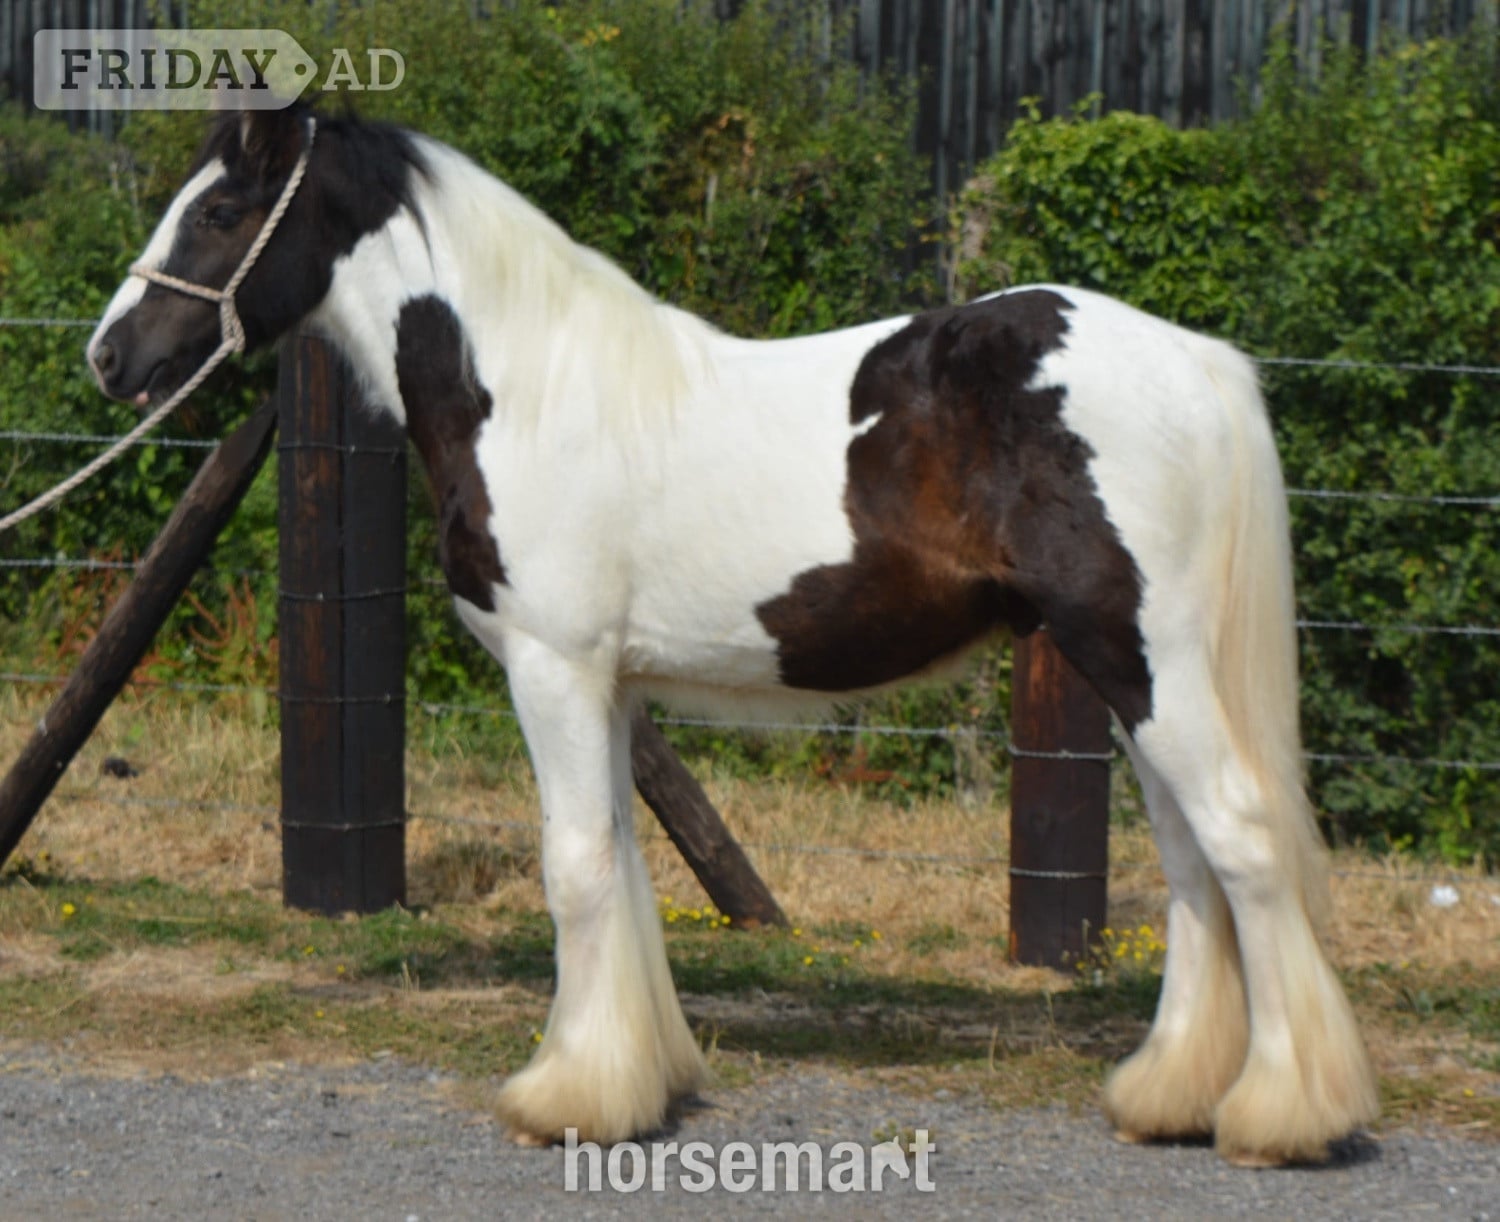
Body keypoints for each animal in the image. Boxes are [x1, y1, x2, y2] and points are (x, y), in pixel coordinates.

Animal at [87, 104, 1377, 1167]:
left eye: (218, 209)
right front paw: (634, 1078)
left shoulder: (554, 670)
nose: (111, 354)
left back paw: (1282, 1117)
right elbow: (619, 863)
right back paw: (1173, 1097)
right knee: (1194, 866)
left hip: (1143, 659)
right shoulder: (608, 686)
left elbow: (575, 866)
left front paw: (568, 1099)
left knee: (1242, 839)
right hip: (1135, 672)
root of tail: (1196, 362)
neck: (528, 388)